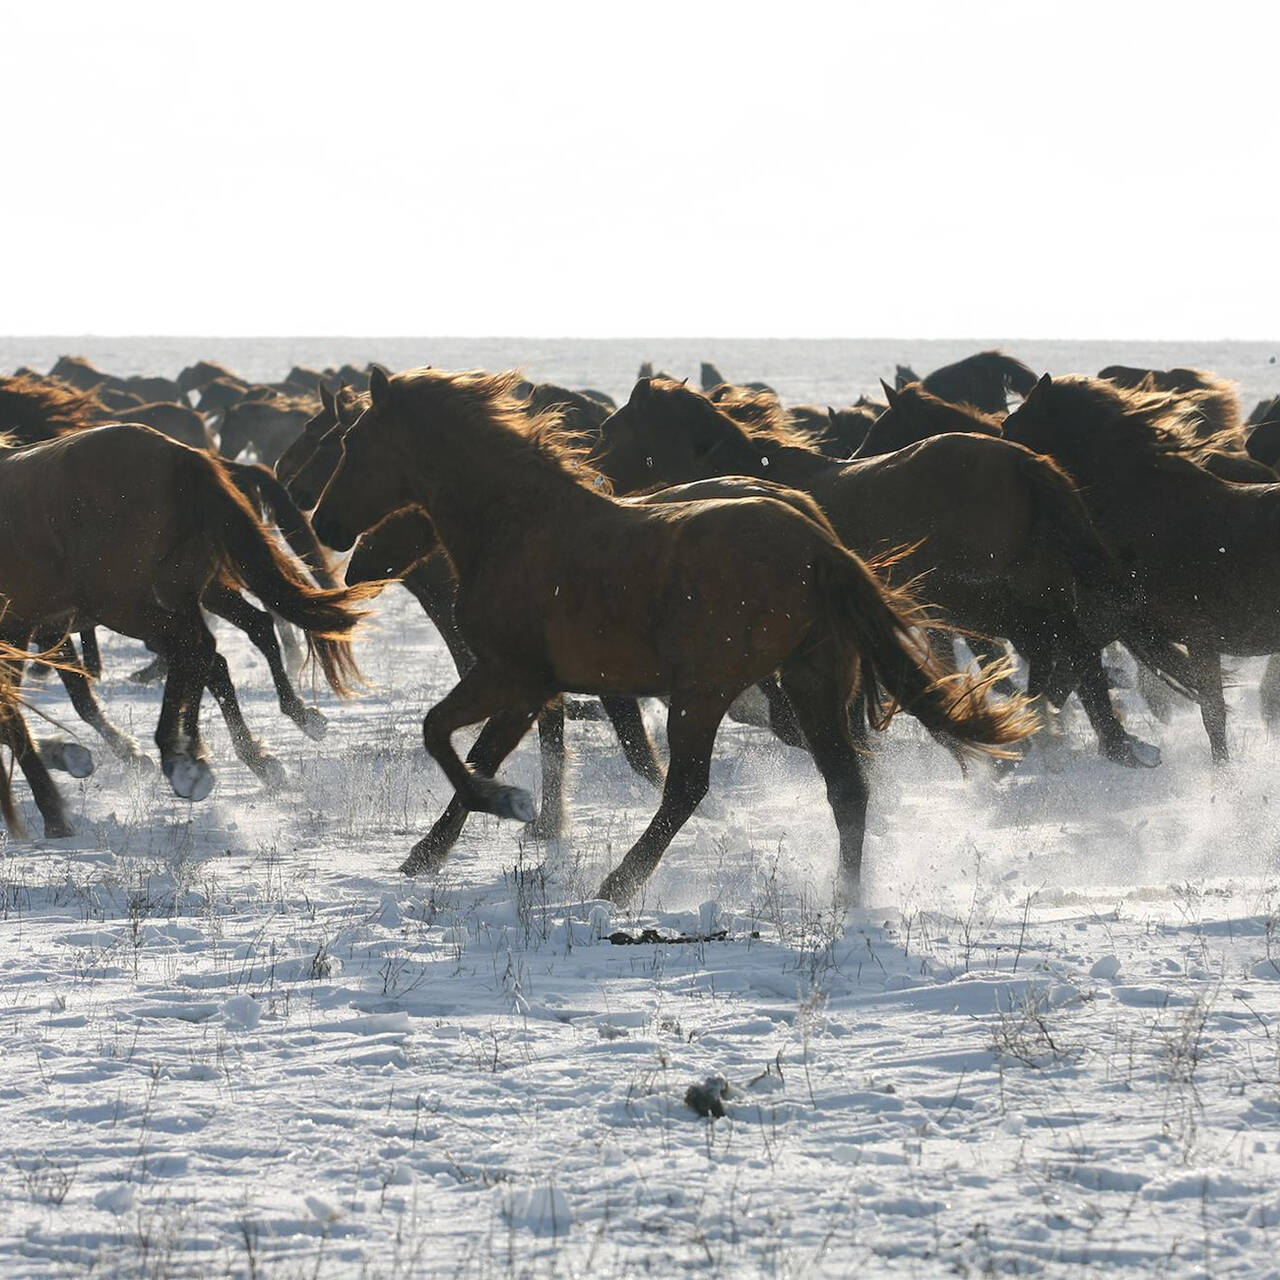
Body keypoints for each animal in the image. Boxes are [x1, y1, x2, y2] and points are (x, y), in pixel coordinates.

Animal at [312, 371, 1039, 906]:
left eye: (352, 442)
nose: (325, 526)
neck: (517, 524)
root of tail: (816, 543)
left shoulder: (509, 675)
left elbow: (442, 736)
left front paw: (499, 810)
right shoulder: (528, 686)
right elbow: (479, 751)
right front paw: (431, 851)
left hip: (705, 693)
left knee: (689, 788)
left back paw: (620, 884)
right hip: (809, 682)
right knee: (846, 787)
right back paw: (846, 897)